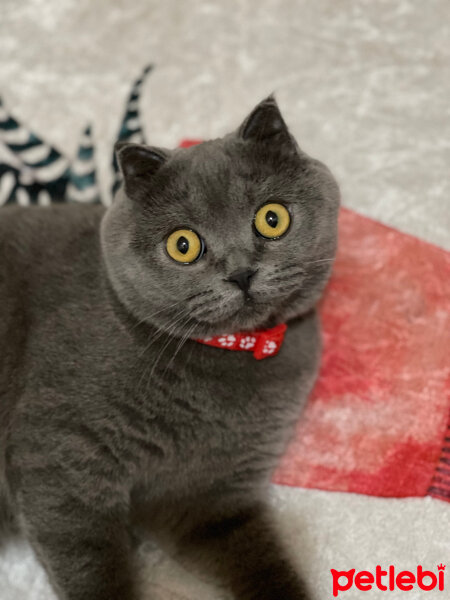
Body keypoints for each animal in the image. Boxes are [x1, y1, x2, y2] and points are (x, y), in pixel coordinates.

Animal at [0, 96, 338, 596]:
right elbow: (91, 565)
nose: (241, 272)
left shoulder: (209, 495)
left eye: (271, 218)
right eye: (183, 245)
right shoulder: (60, 455)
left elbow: (258, 561)